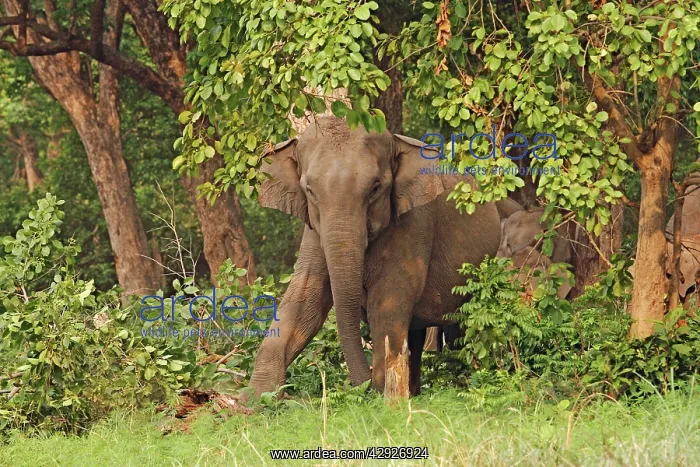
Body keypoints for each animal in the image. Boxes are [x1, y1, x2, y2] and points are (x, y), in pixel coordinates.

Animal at [247, 117, 501, 398]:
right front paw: (256, 397)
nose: (362, 384)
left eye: (376, 188)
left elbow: (389, 298)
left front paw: (380, 390)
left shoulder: (415, 219)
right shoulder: (313, 230)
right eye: (309, 190)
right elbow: (305, 295)